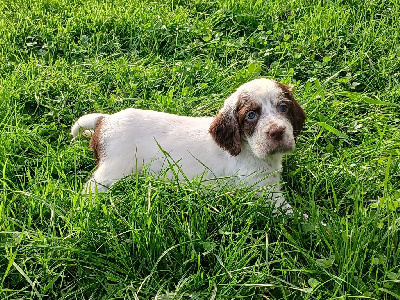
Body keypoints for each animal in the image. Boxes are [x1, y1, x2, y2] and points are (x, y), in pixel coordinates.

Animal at [71, 78, 306, 212]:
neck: (250, 150)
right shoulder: (264, 194)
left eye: (283, 107)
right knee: (89, 189)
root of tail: (105, 120)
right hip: (112, 172)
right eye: (251, 115)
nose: (277, 132)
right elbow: (294, 216)